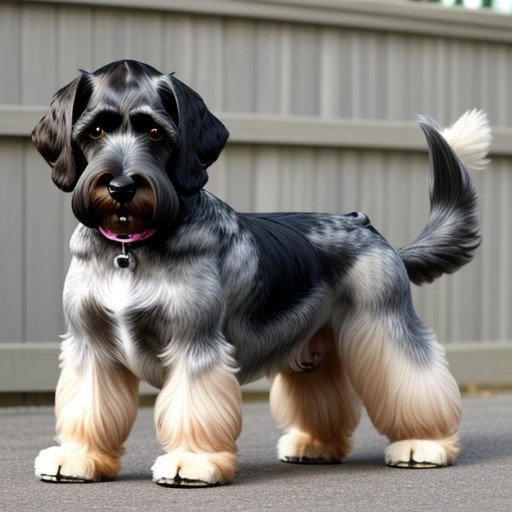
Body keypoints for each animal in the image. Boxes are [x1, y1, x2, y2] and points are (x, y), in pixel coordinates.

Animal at [31, 61, 492, 488]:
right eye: (94, 132)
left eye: (156, 133)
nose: (121, 187)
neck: (130, 250)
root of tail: (364, 224)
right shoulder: (90, 345)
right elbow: (86, 407)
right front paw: (78, 457)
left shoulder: (196, 343)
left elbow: (193, 407)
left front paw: (190, 462)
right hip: (314, 352)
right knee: (326, 399)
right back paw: (315, 445)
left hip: (384, 325)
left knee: (415, 378)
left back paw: (424, 444)